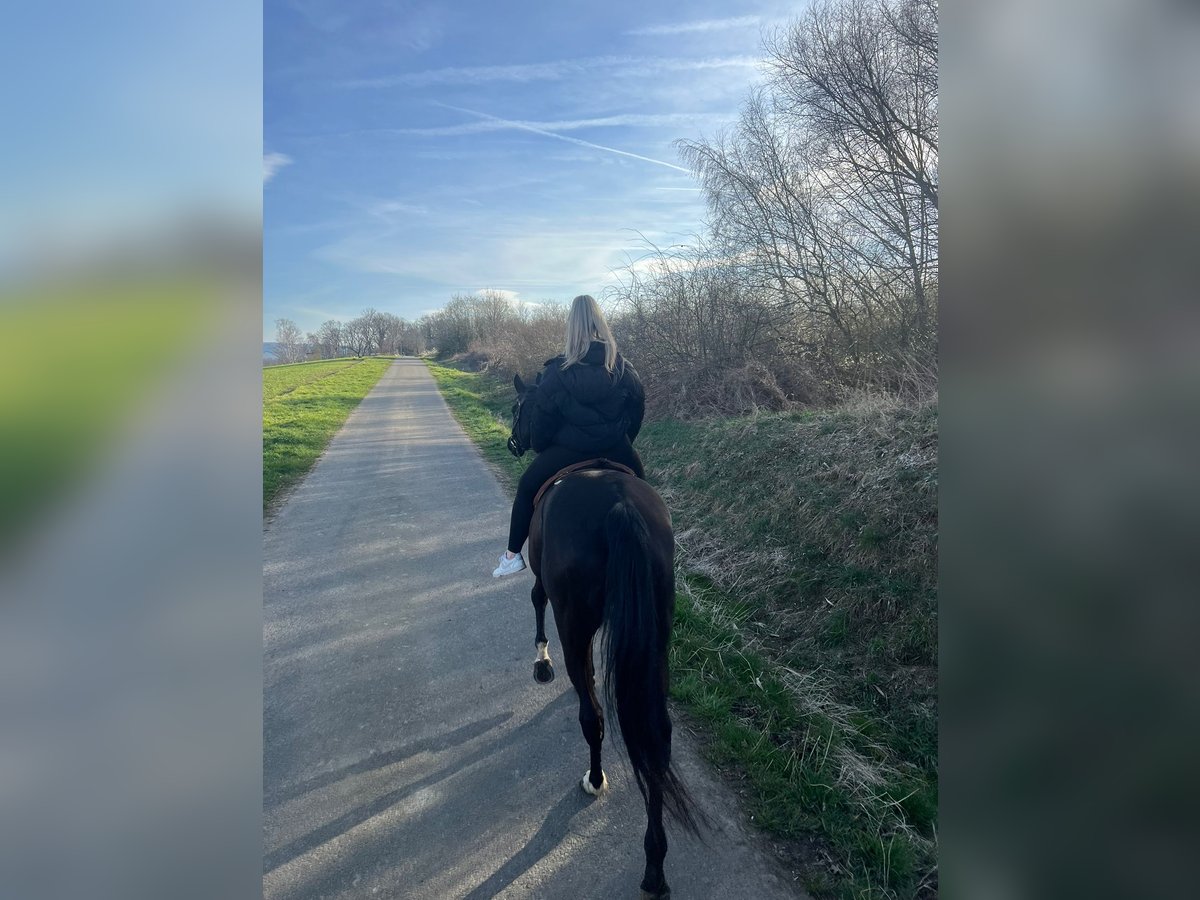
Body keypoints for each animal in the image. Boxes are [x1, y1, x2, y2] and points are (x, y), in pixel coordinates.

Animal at [508, 374, 700, 900]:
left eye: (520, 409)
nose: (513, 443)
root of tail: (618, 504)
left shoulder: (546, 583)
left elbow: (535, 599)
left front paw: (541, 661)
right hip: (657, 626)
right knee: (656, 737)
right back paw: (655, 866)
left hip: (574, 619)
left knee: (590, 713)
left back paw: (594, 779)